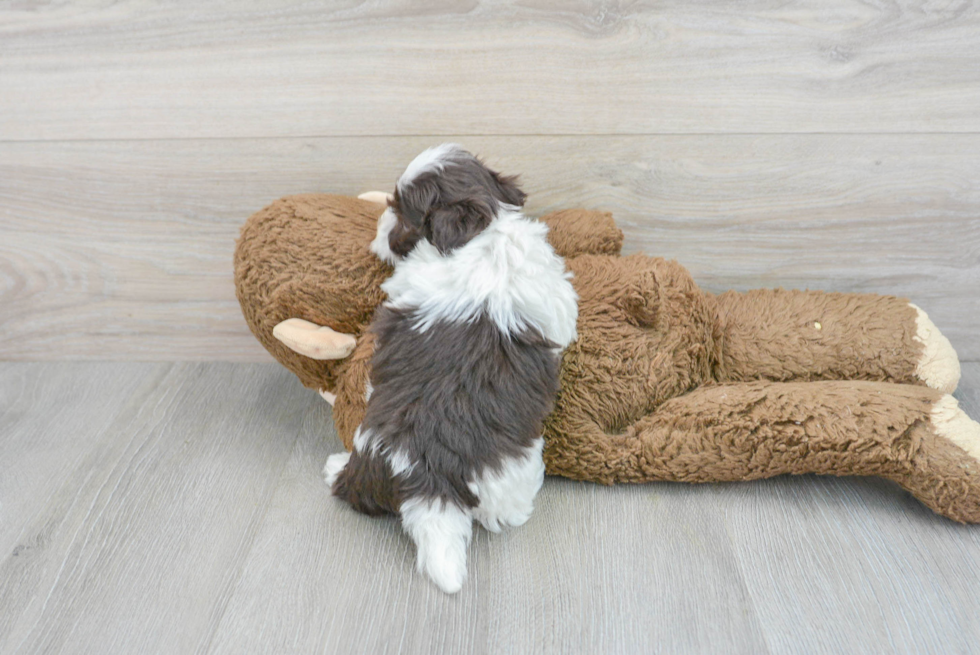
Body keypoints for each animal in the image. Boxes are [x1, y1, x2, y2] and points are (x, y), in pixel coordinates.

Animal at [322, 145, 580, 596]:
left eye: (398, 210)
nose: (379, 225)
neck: (482, 230)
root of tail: (427, 475)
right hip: (512, 476)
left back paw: (337, 467)